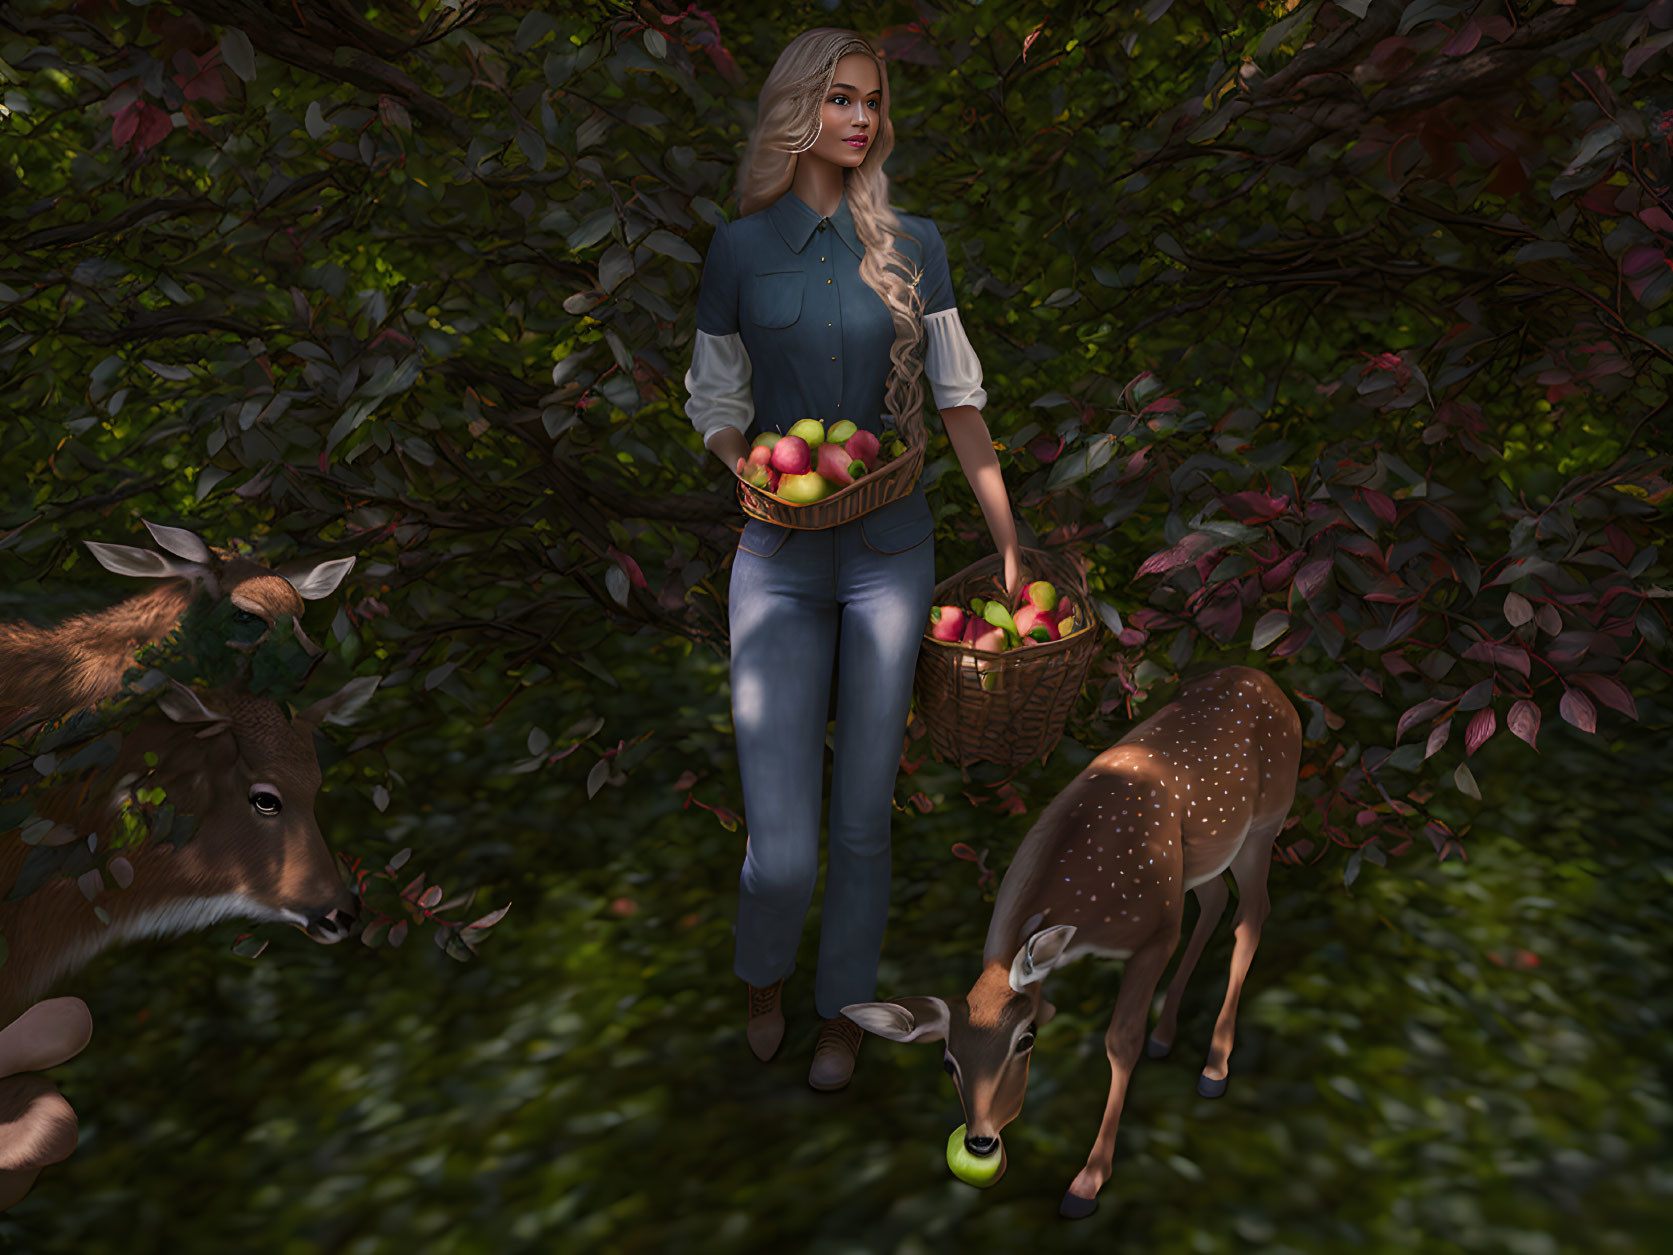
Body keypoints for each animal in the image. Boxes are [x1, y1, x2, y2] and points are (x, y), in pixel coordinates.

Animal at [843, 672, 1298, 1224]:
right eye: (949, 1061)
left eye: (1026, 1040)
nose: (979, 1142)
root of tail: (1266, 680)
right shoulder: (1165, 905)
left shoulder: (1155, 934)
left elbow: (1120, 1041)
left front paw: (1087, 1182)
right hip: (1203, 860)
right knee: (1216, 900)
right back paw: (1166, 1036)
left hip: (1266, 821)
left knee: (1252, 914)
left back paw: (1215, 1066)